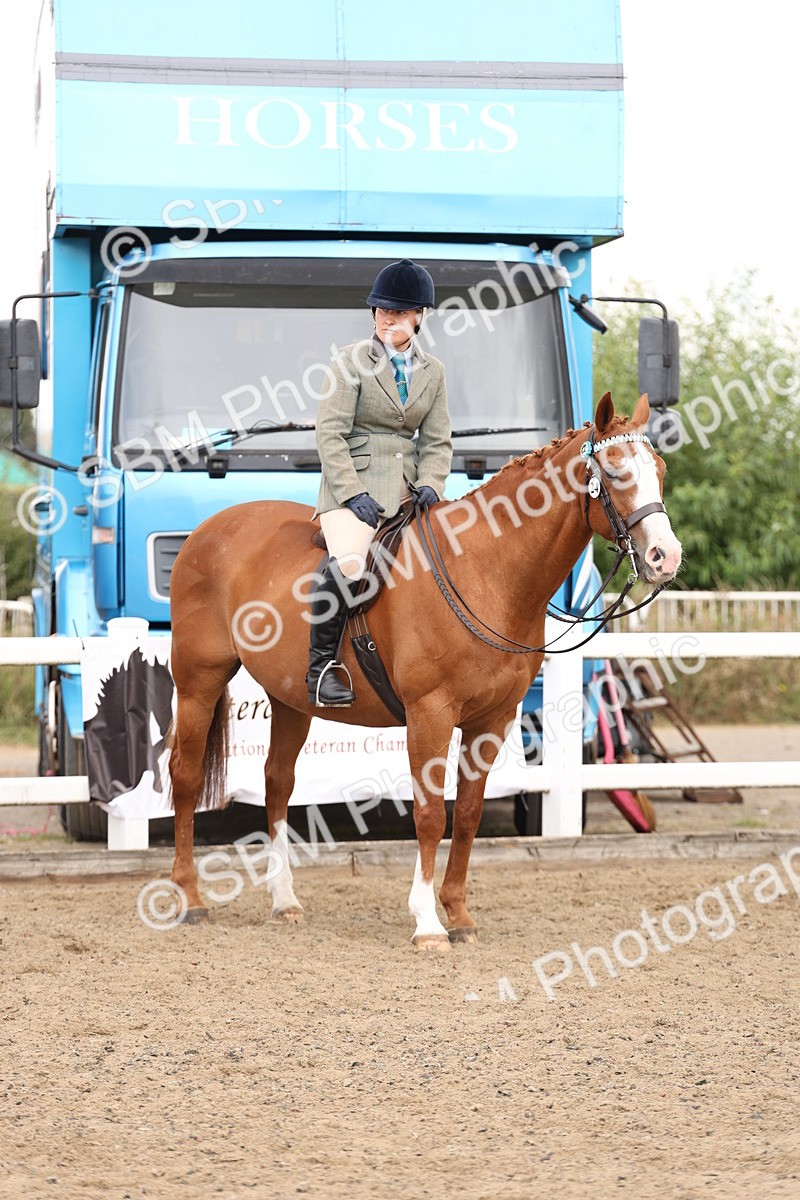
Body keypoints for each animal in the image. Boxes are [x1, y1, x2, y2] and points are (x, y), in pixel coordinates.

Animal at [167, 392, 682, 949]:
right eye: (614, 472)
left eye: (660, 469)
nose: (666, 557)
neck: (486, 571)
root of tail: (207, 530)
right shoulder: (430, 715)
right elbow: (432, 812)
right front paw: (428, 922)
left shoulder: (492, 720)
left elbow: (469, 813)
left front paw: (458, 914)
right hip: (198, 683)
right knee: (186, 778)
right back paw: (190, 899)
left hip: (291, 700)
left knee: (277, 783)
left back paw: (284, 901)